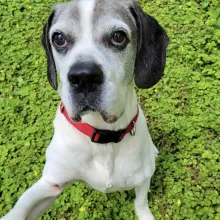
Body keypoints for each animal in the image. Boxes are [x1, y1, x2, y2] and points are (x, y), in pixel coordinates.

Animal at [1, 0, 168, 219]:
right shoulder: (51, 184)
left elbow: (141, 203)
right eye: (59, 39)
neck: (103, 137)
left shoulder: (142, 179)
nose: (83, 77)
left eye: (118, 36)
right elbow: (23, 205)